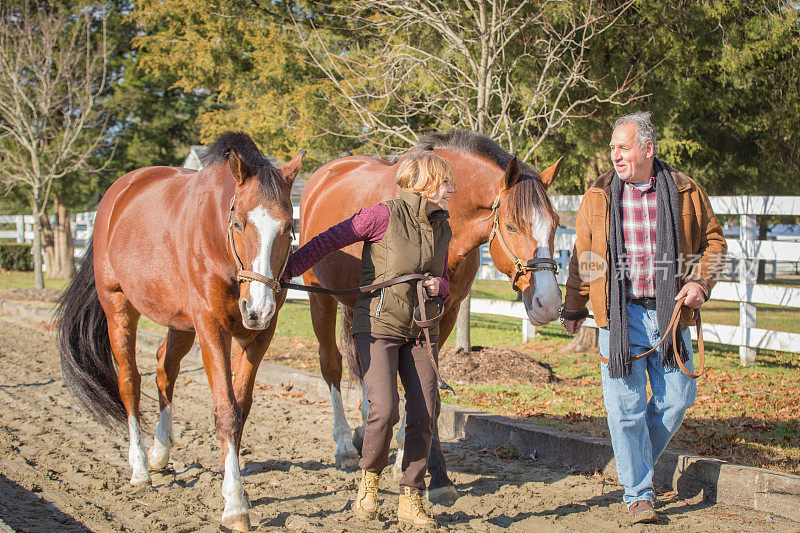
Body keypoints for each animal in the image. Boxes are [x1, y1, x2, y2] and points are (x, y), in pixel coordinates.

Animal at [57, 131, 304, 528]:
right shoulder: (211, 328)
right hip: (119, 307)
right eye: (239, 224)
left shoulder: (258, 336)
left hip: (180, 324)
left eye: (288, 228)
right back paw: (140, 468)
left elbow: (240, 408)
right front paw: (234, 506)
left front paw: (233, 484)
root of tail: (118, 193)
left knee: (164, 369)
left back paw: (160, 453)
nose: (258, 308)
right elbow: (226, 410)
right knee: (130, 382)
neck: (218, 240)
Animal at [298, 129, 564, 502]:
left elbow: (428, 392)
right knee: (332, 364)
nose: (548, 303)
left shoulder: (444, 313)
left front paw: (422, 467)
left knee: (363, 365)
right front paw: (431, 473)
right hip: (318, 298)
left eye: (554, 225)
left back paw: (365, 431)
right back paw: (345, 447)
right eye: (511, 226)